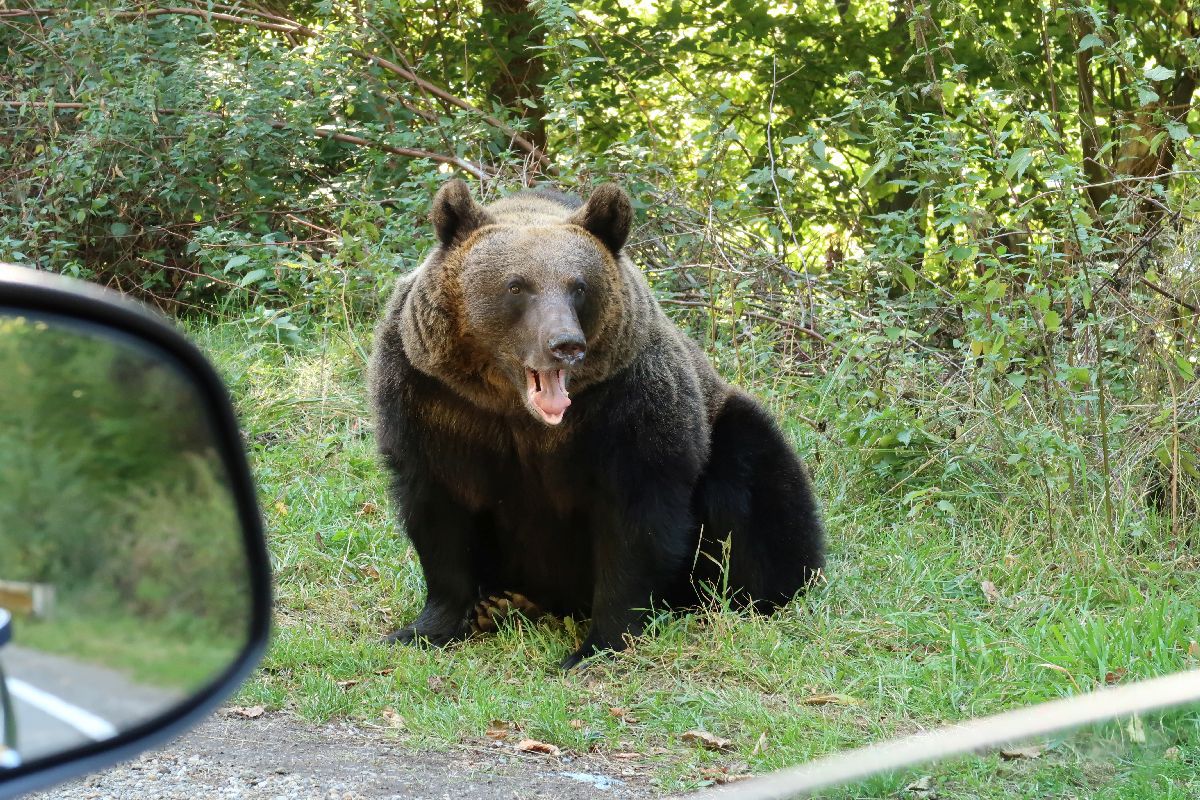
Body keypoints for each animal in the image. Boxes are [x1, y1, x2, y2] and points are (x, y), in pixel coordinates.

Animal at [372, 181, 825, 671]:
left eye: (579, 286)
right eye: (517, 286)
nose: (565, 344)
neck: (516, 410)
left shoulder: (627, 408)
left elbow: (636, 526)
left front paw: (598, 645)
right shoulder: (431, 405)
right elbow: (439, 518)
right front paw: (427, 628)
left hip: (724, 429)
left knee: (754, 490)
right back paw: (504, 604)